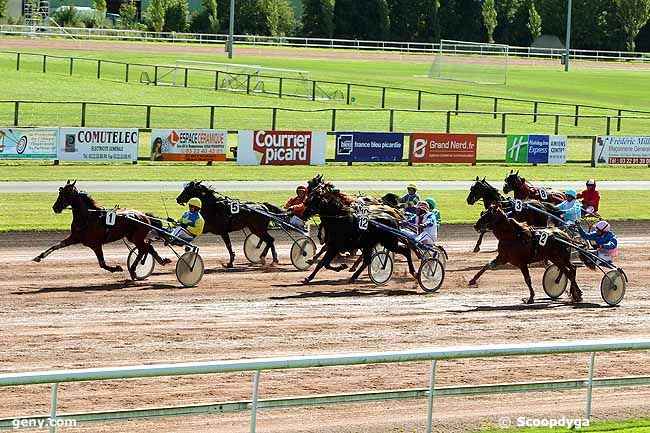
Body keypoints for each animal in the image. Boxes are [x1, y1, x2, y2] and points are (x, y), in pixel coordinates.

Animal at [33, 180, 171, 278]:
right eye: (60, 193)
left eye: (66, 194)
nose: (55, 207)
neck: (88, 217)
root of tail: (143, 215)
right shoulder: (74, 237)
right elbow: (56, 245)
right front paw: (39, 257)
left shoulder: (96, 244)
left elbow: (102, 263)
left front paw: (117, 268)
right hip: (133, 237)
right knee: (148, 248)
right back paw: (161, 261)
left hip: (137, 237)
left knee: (143, 250)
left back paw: (133, 270)